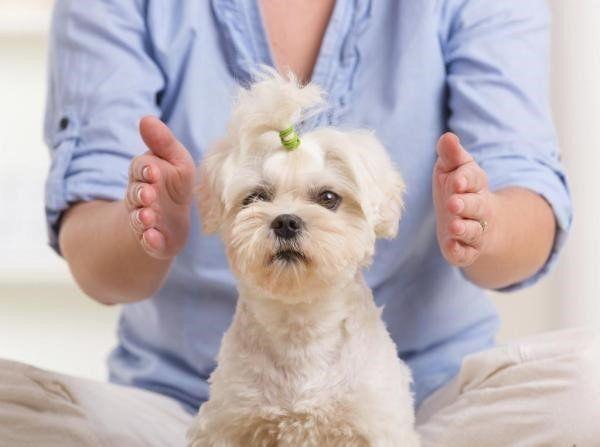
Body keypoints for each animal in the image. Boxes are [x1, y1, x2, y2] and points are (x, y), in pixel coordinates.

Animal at [187, 70, 420, 447]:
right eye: (255, 197)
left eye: (328, 198)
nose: (285, 221)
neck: (300, 328)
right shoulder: (228, 422)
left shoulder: (376, 423)